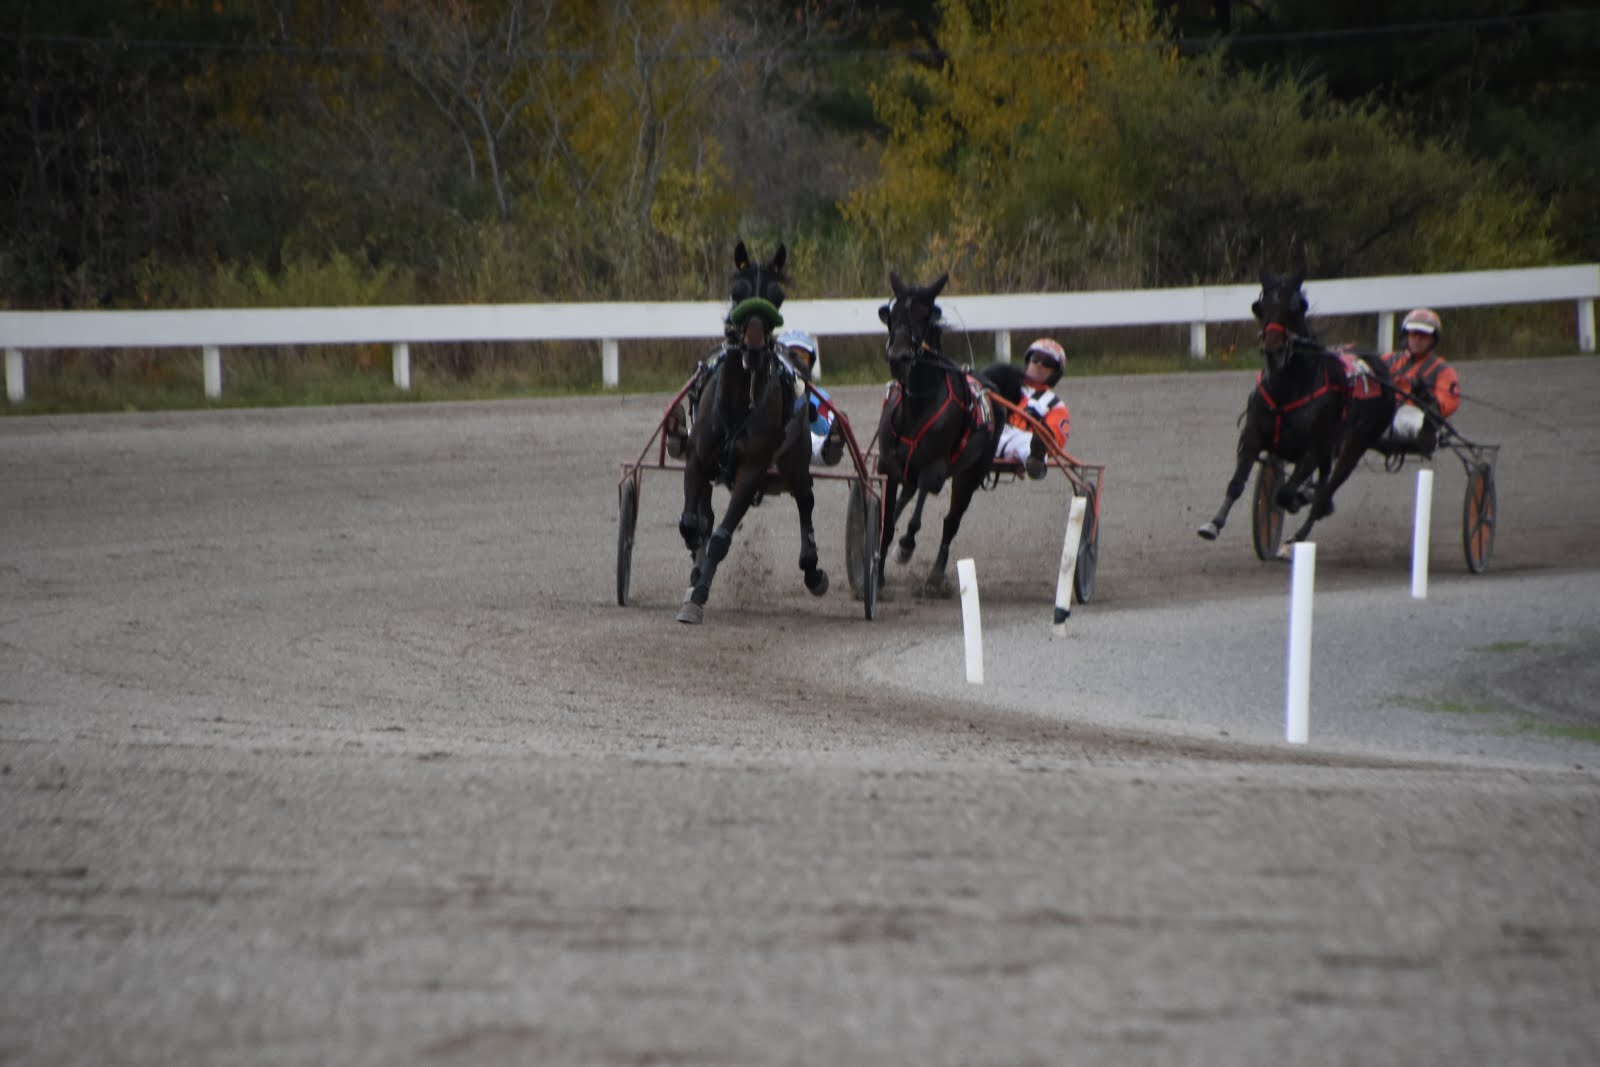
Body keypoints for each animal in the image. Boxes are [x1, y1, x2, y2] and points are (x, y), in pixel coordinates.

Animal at [672, 239, 825, 627]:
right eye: (737, 291)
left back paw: (813, 570)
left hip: (794, 458)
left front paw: (699, 595)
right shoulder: (698, 459)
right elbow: (692, 524)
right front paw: (695, 574)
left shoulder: (752, 470)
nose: (754, 345)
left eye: (778, 296)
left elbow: (721, 538)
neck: (739, 402)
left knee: (806, 498)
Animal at [876, 271, 1024, 598]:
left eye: (924, 316)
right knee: (910, 493)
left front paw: (904, 548)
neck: (918, 405)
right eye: (893, 315)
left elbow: (917, 518)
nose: (898, 357)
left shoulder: (935, 468)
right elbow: (888, 522)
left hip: (970, 473)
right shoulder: (890, 467)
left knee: (951, 521)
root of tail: (988, 383)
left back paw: (934, 577)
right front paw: (875, 575)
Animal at [1196, 268, 1395, 559]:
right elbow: (1237, 483)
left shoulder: (1312, 449)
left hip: (1353, 447)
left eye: (1296, 307)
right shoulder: (1253, 436)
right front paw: (1213, 524)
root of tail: (1378, 367)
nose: (1273, 349)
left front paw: (1295, 500)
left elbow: (1284, 493)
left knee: (1327, 490)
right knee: (1323, 484)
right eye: (1259, 306)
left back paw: (1296, 537)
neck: (1289, 388)